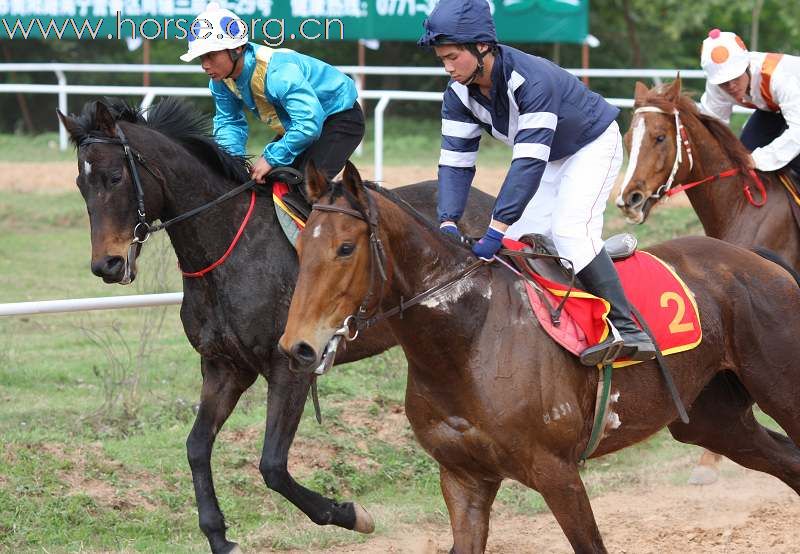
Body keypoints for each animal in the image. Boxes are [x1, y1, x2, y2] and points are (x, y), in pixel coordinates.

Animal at [54, 97, 494, 548]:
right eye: (80, 183)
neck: (228, 247)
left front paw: (350, 513)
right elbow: (197, 445)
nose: (106, 265)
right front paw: (218, 535)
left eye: (114, 177)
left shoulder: (289, 367)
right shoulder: (224, 366)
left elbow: (272, 465)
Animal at [280, 162, 800, 552]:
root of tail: (760, 259)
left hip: (781, 392)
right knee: (785, 461)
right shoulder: (463, 480)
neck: (468, 336)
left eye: (346, 248)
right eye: (300, 246)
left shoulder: (558, 473)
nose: (296, 347)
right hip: (713, 419)